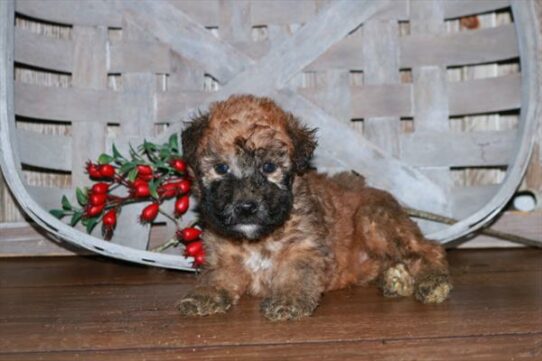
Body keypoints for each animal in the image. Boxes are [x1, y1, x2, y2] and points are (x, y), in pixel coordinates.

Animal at [177, 94, 450, 320]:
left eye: (269, 167)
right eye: (221, 168)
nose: (246, 207)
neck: (258, 239)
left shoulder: (305, 250)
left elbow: (295, 274)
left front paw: (287, 301)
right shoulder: (222, 258)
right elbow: (215, 277)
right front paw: (203, 295)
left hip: (374, 219)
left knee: (427, 249)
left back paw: (432, 281)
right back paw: (396, 278)